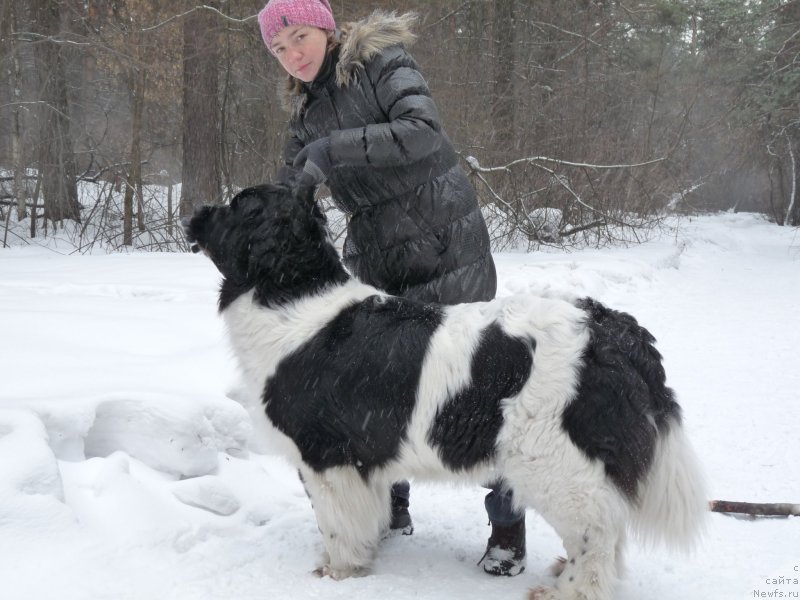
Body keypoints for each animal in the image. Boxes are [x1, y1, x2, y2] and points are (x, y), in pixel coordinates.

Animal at [186, 184, 708, 600]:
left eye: (237, 204)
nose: (195, 211)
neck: (289, 293)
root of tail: (616, 330)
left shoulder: (329, 459)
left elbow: (336, 525)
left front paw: (338, 573)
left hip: (555, 463)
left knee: (597, 533)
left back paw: (569, 591)